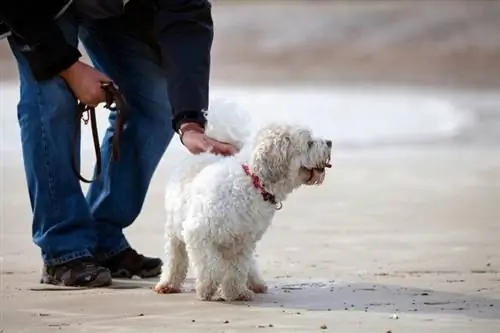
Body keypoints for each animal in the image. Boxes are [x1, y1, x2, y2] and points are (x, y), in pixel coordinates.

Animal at [153, 100, 332, 300]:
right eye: (309, 143)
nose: (330, 142)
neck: (253, 181)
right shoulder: (198, 232)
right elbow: (210, 266)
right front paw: (207, 287)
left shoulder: (243, 241)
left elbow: (236, 269)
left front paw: (235, 292)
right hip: (175, 228)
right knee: (175, 256)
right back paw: (168, 283)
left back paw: (255, 283)